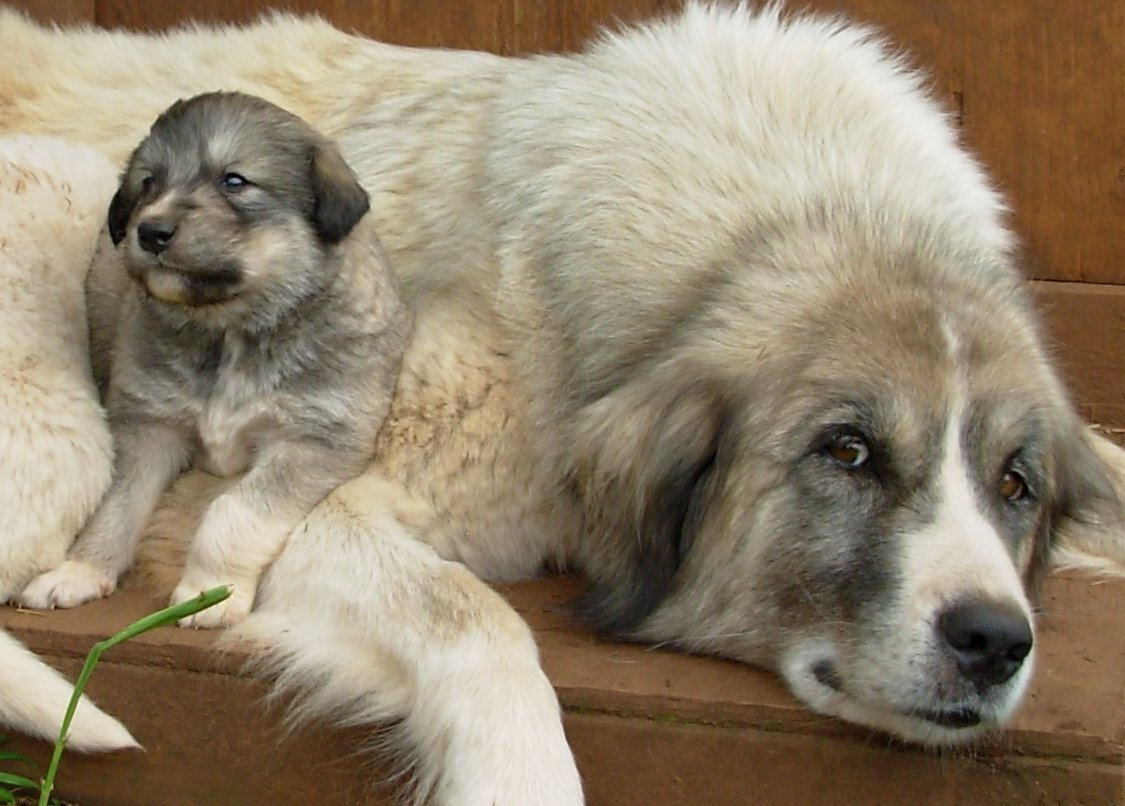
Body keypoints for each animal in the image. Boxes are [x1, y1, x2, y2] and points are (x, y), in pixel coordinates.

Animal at [17, 92, 411, 630]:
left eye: (234, 181)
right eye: (148, 182)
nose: (151, 231)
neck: (229, 330)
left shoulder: (314, 441)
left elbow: (234, 512)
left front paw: (209, 592)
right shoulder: (148, 426)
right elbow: (116, 507)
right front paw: (79, 571)